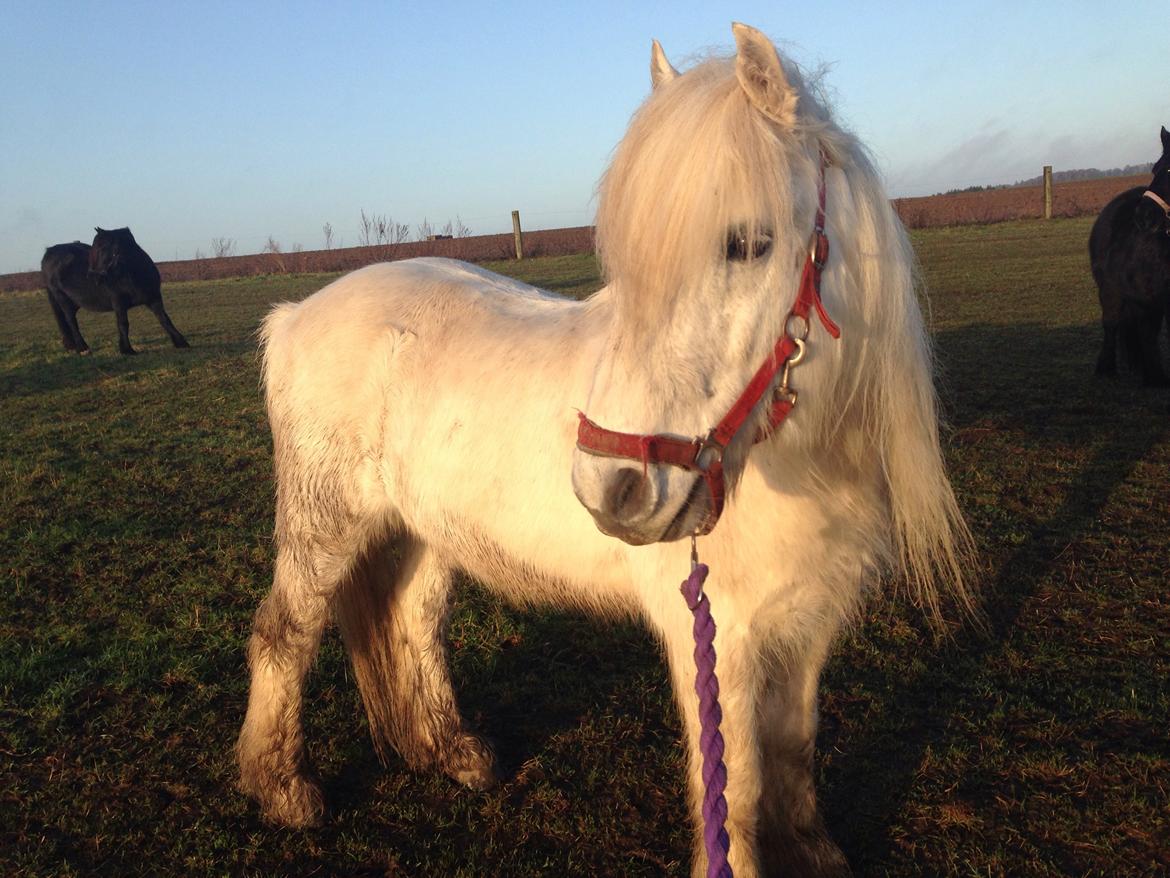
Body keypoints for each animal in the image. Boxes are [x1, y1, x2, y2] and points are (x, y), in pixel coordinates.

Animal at [41, 226, 189, 355]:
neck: (131, 275)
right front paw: (127, 349)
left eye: (101, 248)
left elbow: (164, 318)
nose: (92, 276)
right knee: (71, 321)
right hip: (62, 298)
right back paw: (83, 348)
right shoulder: (118, 303)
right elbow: (123, 324)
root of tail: (49, 253)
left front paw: (181, 342)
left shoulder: (154, 298)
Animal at [236, 23, 974, 877]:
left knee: (410, 620)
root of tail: (295, 314)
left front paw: (813, 852)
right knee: (283, 636)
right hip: (325, 525)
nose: (610, 488)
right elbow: (735, 787)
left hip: (424, 530)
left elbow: (794, 747)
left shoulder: (808, 624)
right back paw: (282, 790)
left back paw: (454, 753)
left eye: (749, 244)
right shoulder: (718, 636)